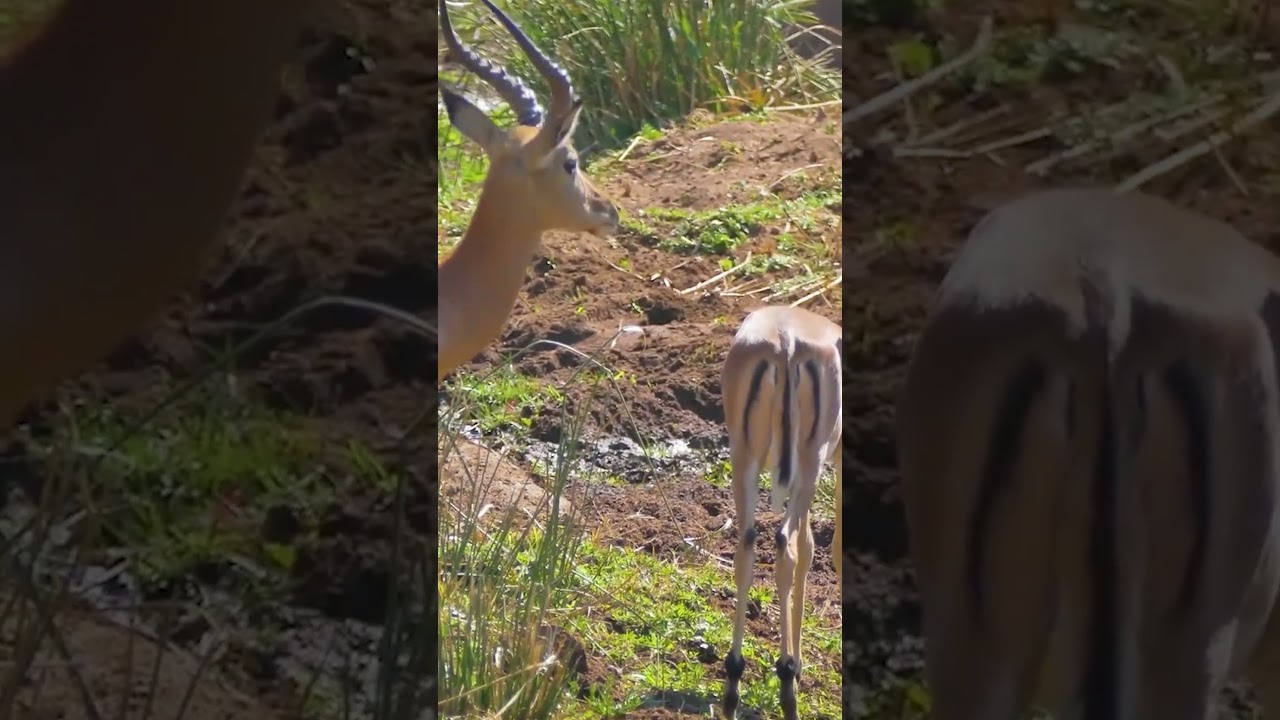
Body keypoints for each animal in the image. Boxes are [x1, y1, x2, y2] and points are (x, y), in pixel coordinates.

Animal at [720, 304, 841, 720]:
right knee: (785, 544)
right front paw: (799, 665)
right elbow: (813, 550)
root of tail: (786, 340)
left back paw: (732, 682)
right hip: (808, 464)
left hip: (744, 458)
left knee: (747, 546)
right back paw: (787, 681)